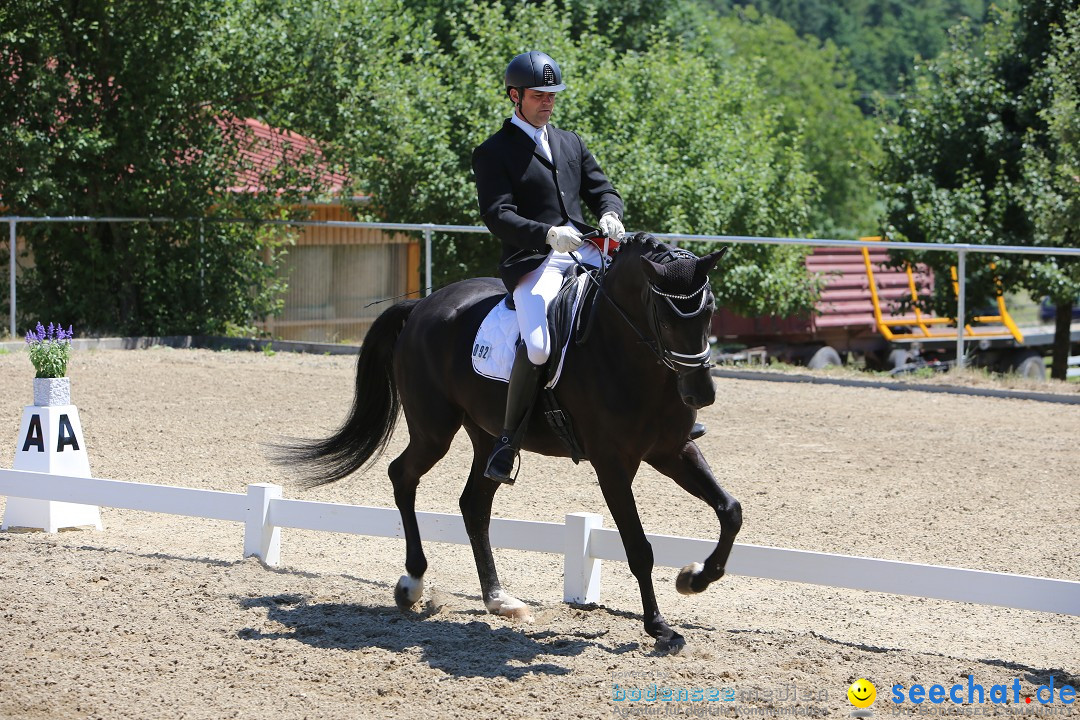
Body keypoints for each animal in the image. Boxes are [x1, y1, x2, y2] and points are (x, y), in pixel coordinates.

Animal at [280, 235, 743, 651]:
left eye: (709, 310)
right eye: (664, 319)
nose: (701, 393)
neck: (626, 355)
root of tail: (423, 307)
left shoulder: (672, 451)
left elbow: (730, 511)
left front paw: (694, 578)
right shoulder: (612, 465)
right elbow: (639, 548)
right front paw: (660, 628)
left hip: (487, 437)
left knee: (473, 503)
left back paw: (500, 600)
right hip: (434, 430)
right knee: (403, 476)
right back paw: (412, 583)